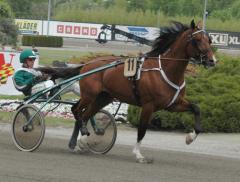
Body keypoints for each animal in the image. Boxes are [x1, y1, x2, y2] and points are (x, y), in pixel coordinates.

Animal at [39, 19, 216, 164]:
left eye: (209, 39)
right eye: (197, 40)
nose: (212, 61)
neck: (166, 69)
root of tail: (86, 65)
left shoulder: (173, 104)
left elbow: (196, 108)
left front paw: (190, 137)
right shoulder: (148, 105)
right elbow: (142, 130)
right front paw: (139, 155)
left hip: (103, 98)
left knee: (85, 114)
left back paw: (79, 142)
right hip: (90, 95)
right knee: (76, 111)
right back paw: (81, 136)